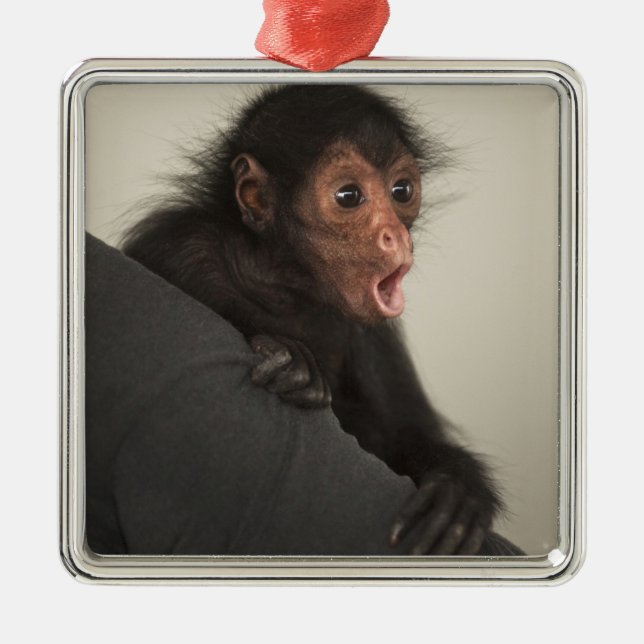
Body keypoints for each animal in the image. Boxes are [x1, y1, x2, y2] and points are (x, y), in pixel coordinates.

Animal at [122, 85, 520, 556]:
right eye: (348, 196)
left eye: (401, 190)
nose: (396, 236)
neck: (281, 284)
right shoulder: (181, 247)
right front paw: (291, 358)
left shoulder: (373, 334)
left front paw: (457, 487)